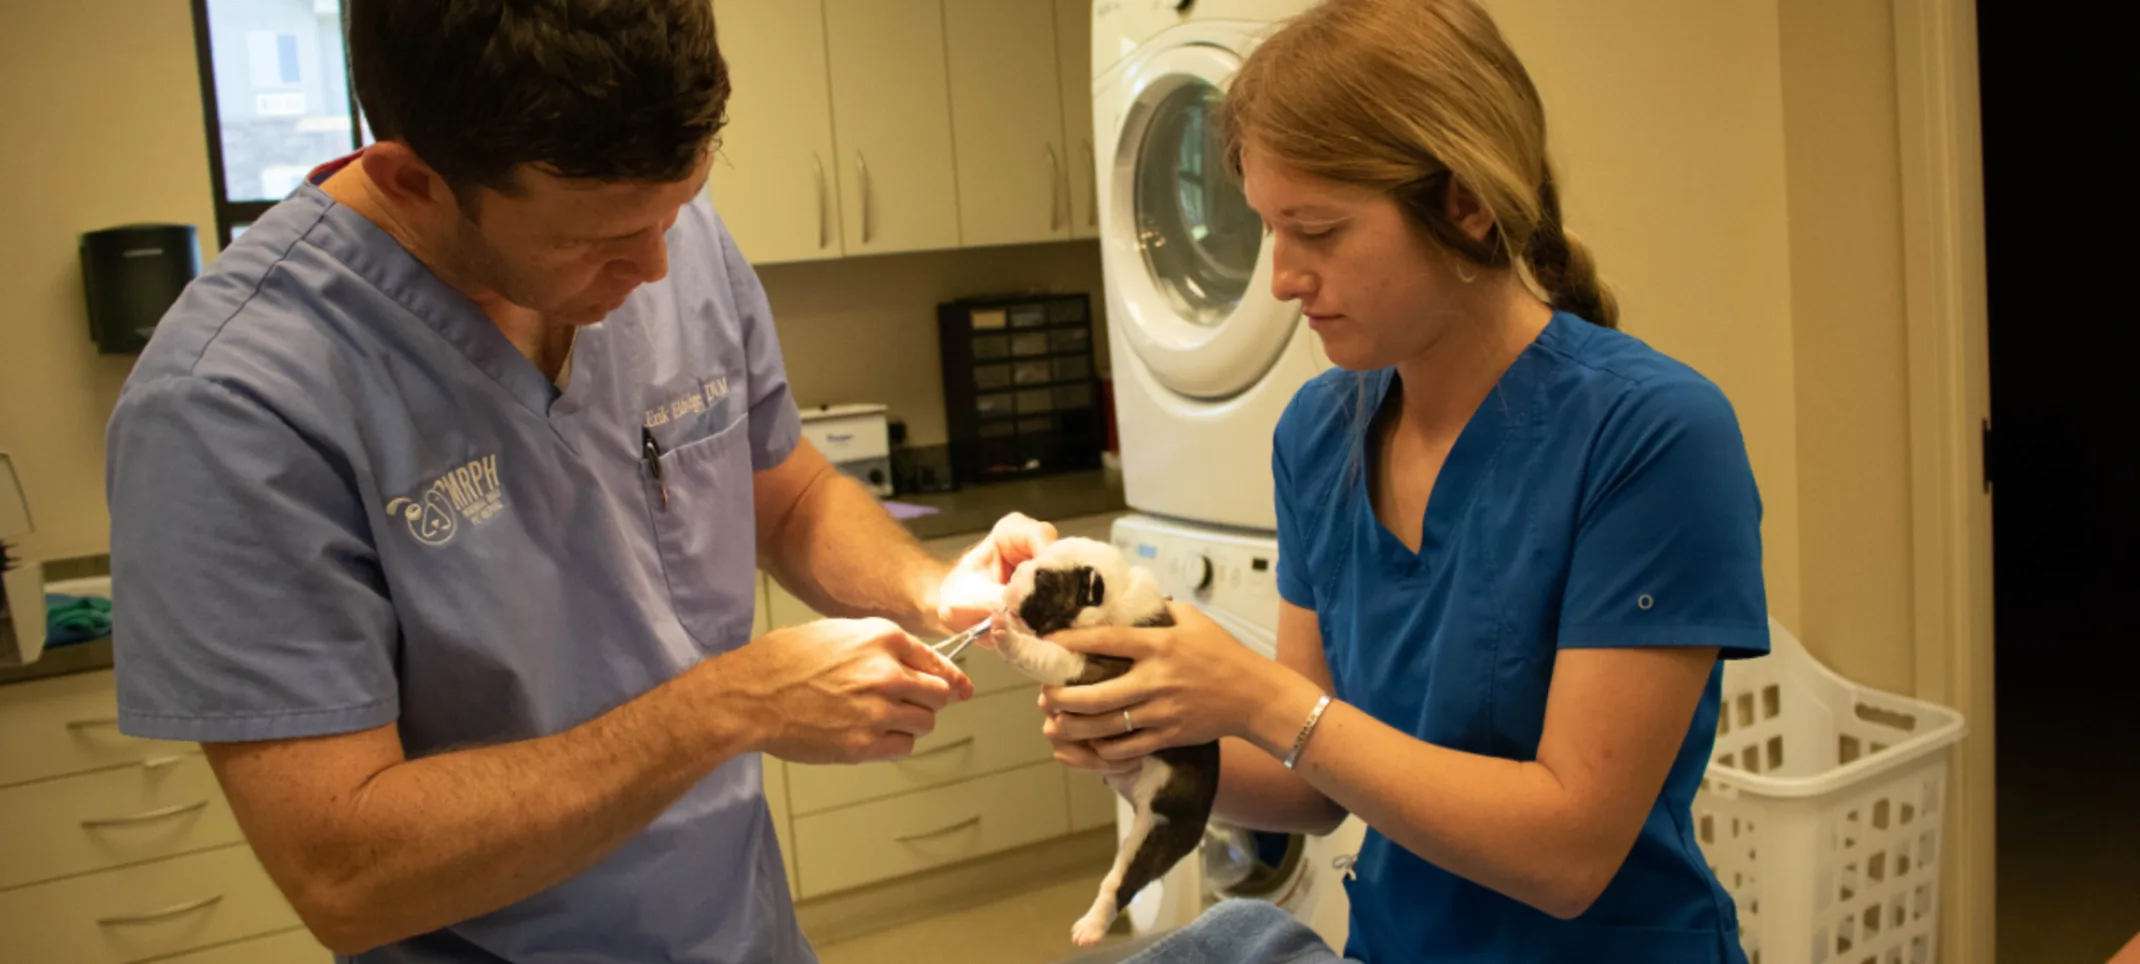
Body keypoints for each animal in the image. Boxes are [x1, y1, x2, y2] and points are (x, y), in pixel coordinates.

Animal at [988, 537, 1224, 946]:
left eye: (1044, 579)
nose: (1014, 572)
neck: (1112, 601)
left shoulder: (1097, 671)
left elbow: (1048, 655)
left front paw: (1005, 633)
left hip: (1157, 831)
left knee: (1119, 884)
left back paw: (1090, 928)